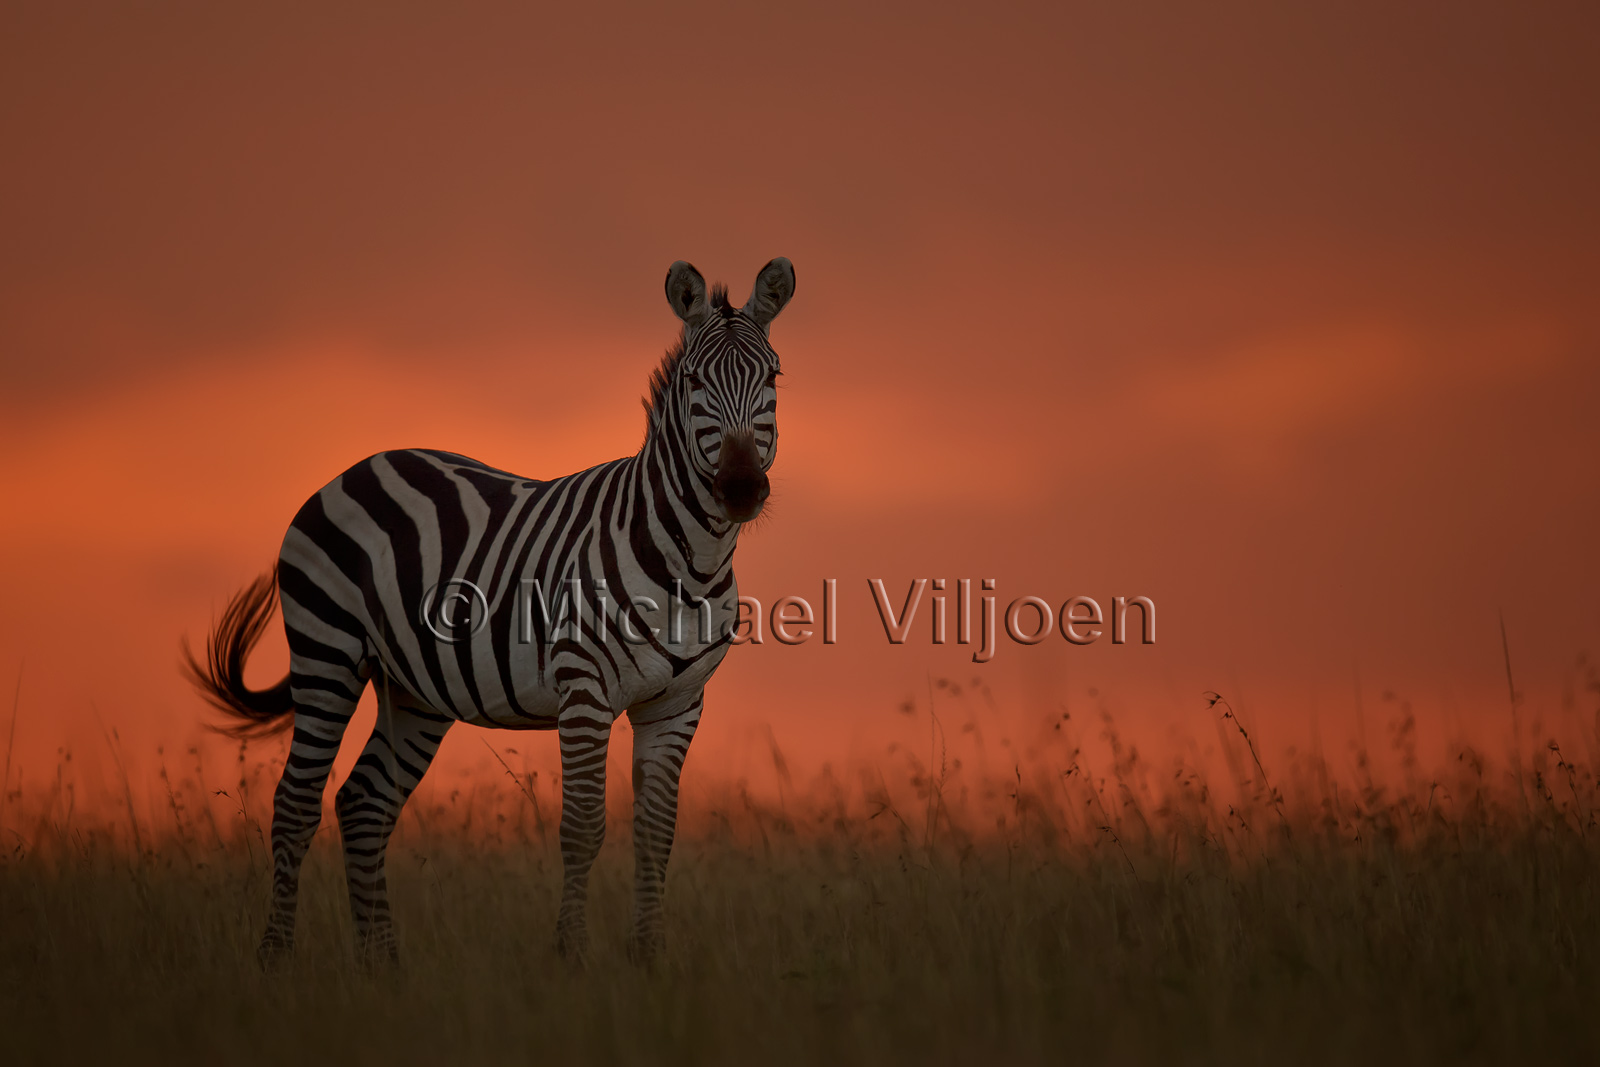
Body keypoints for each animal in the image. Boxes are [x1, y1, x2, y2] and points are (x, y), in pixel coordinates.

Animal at [185, 258, 795, 966]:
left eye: (773, 376)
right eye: (695, 380)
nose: (741, 488)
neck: (688, 561)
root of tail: (359, 467)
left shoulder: (677, 703)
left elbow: (657, 832)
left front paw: (647, 958)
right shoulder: (584, 687)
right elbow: (583, 825)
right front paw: (572, 956)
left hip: (414, 688)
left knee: (363, 805)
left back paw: (383, 968)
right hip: (325, 652)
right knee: (295, 806)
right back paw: (275, 960)